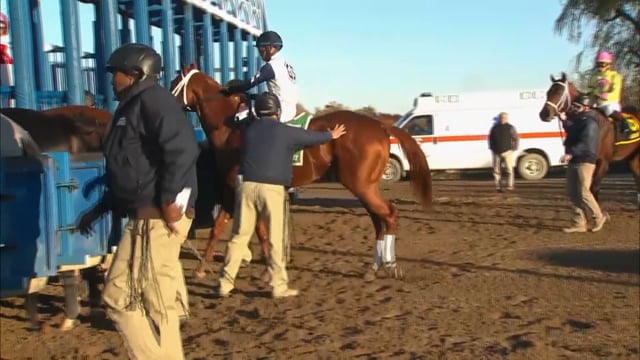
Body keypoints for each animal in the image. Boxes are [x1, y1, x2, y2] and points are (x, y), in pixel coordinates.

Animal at [168, 64, 432, 282]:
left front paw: (267, 270)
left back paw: (391, 265)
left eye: (173, 82)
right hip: (366, 186)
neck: (232, 127)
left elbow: (258, 231)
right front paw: (202, 268)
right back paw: (374, 268)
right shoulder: (233, 189)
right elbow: (219, 227)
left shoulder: (242, 187)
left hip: (361, 185)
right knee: (379, 220)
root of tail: (380, 125)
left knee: (389, 214)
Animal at [540, 71, 640, 208]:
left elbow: (594, 188)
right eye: (548, 92)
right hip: (632, 157)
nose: (544, 114)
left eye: (559, 92)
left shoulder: (603, 161)